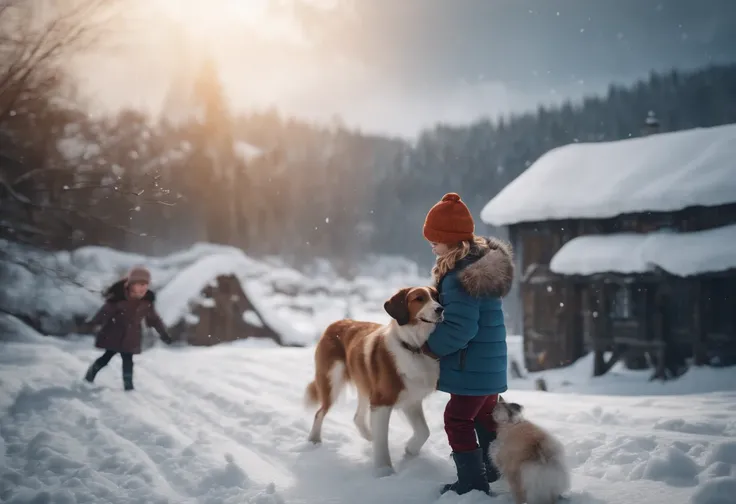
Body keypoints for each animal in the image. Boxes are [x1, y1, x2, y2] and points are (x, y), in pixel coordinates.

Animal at [304, 288, 442, 476]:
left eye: (436, 296)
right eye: (419, 299)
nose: (440, 309)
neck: (413, 348)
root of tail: (338, 322)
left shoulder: (411, 401)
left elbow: (424, 431)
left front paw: (411, 449)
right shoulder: (381, 402)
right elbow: (383, 441)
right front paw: (385, 472)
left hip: (365, 386)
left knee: (357, 418)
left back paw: (369, 436)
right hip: (332, 382)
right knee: (320, 412)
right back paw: (314, 440)